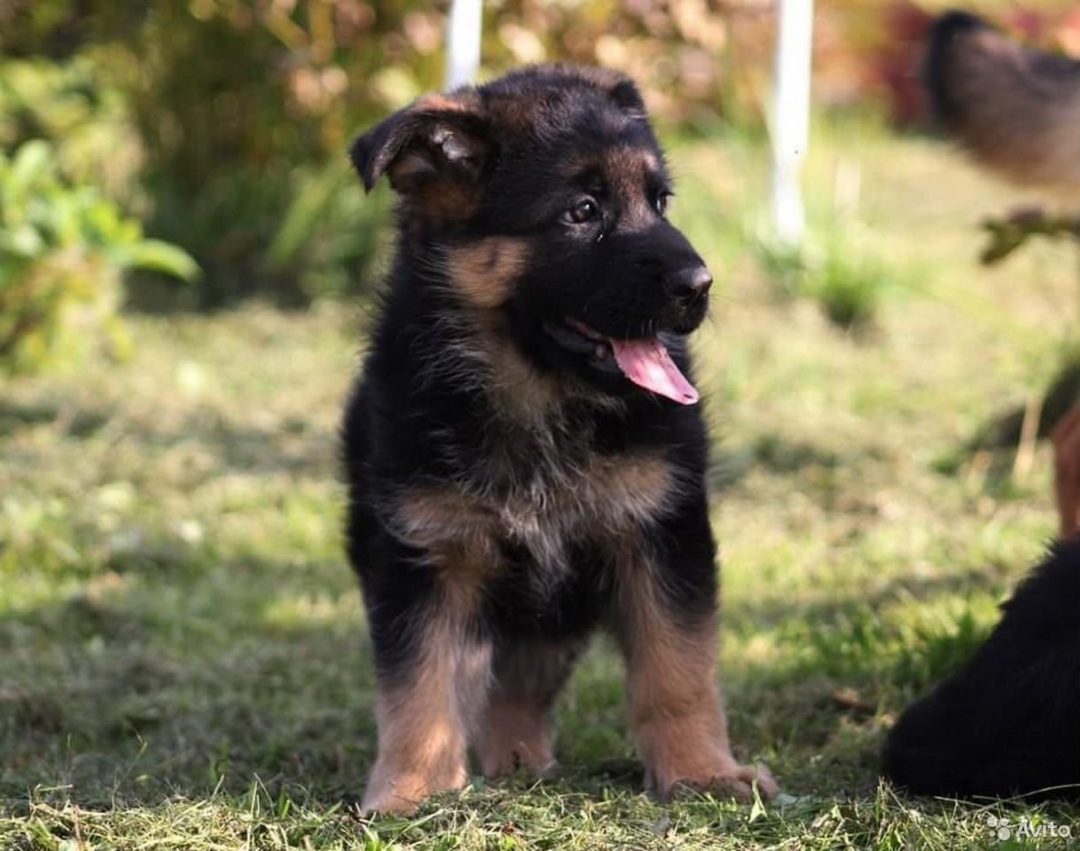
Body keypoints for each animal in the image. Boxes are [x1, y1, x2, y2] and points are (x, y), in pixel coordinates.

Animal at [345, 64, 777, 812]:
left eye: (661, 202)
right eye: (582, 211)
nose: (700, 285)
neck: (541, 397)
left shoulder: (662, 533)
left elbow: (679, 667)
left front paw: (701, 772)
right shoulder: (422, 553)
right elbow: (418, 683)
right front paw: (411, 791)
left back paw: (521, 761)